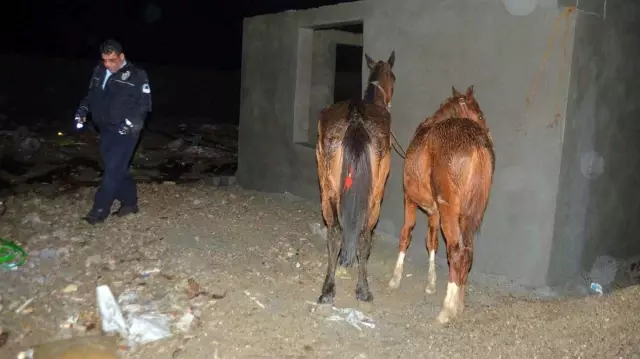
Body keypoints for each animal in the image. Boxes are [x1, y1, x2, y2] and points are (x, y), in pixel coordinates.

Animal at [316, 52, 396, 306]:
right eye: (392, 76)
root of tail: (356, 119)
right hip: (374, 196)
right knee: (364, 235)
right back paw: (363, 288)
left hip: (328, 188)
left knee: (334, 231)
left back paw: (328, 288)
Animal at [384, 86, 496, 324]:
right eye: (480, 115)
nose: (489, 133)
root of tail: (477, 144)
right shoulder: (434, 212)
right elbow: (432, 242)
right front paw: (431, 283)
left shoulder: (409, 199)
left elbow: (406, 234)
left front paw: (395, 279)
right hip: (466, 217)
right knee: (467, 252)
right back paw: (459, 304)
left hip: (449, 213)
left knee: (456, 251)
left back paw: (447, 309)